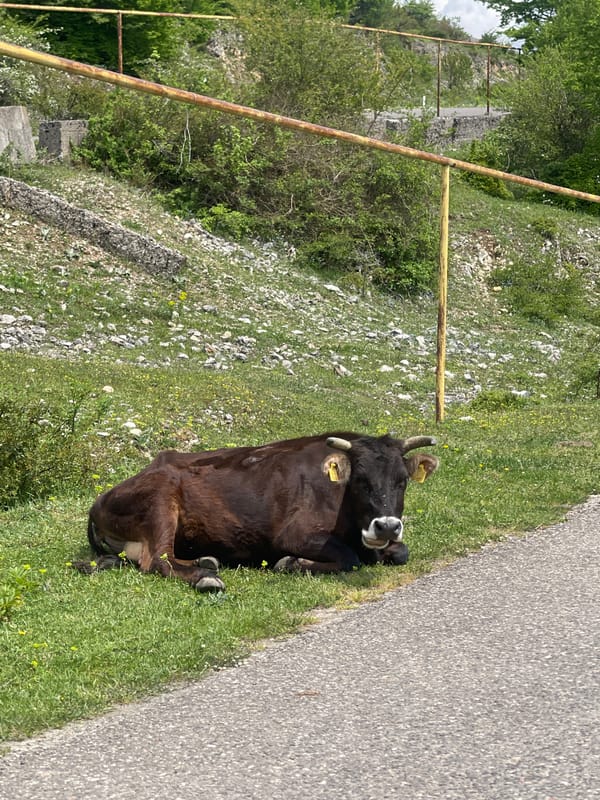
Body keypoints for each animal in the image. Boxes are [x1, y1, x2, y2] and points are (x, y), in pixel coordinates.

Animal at [76, 431, 439, 592]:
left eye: (402, 480)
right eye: (361, 480)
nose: (386, 526)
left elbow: (401, 552)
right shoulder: (293, 533)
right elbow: (348, 558)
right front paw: (292, 563)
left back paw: (205, 561)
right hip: (160, 500)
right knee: (157, 561)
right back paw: (205, 577)